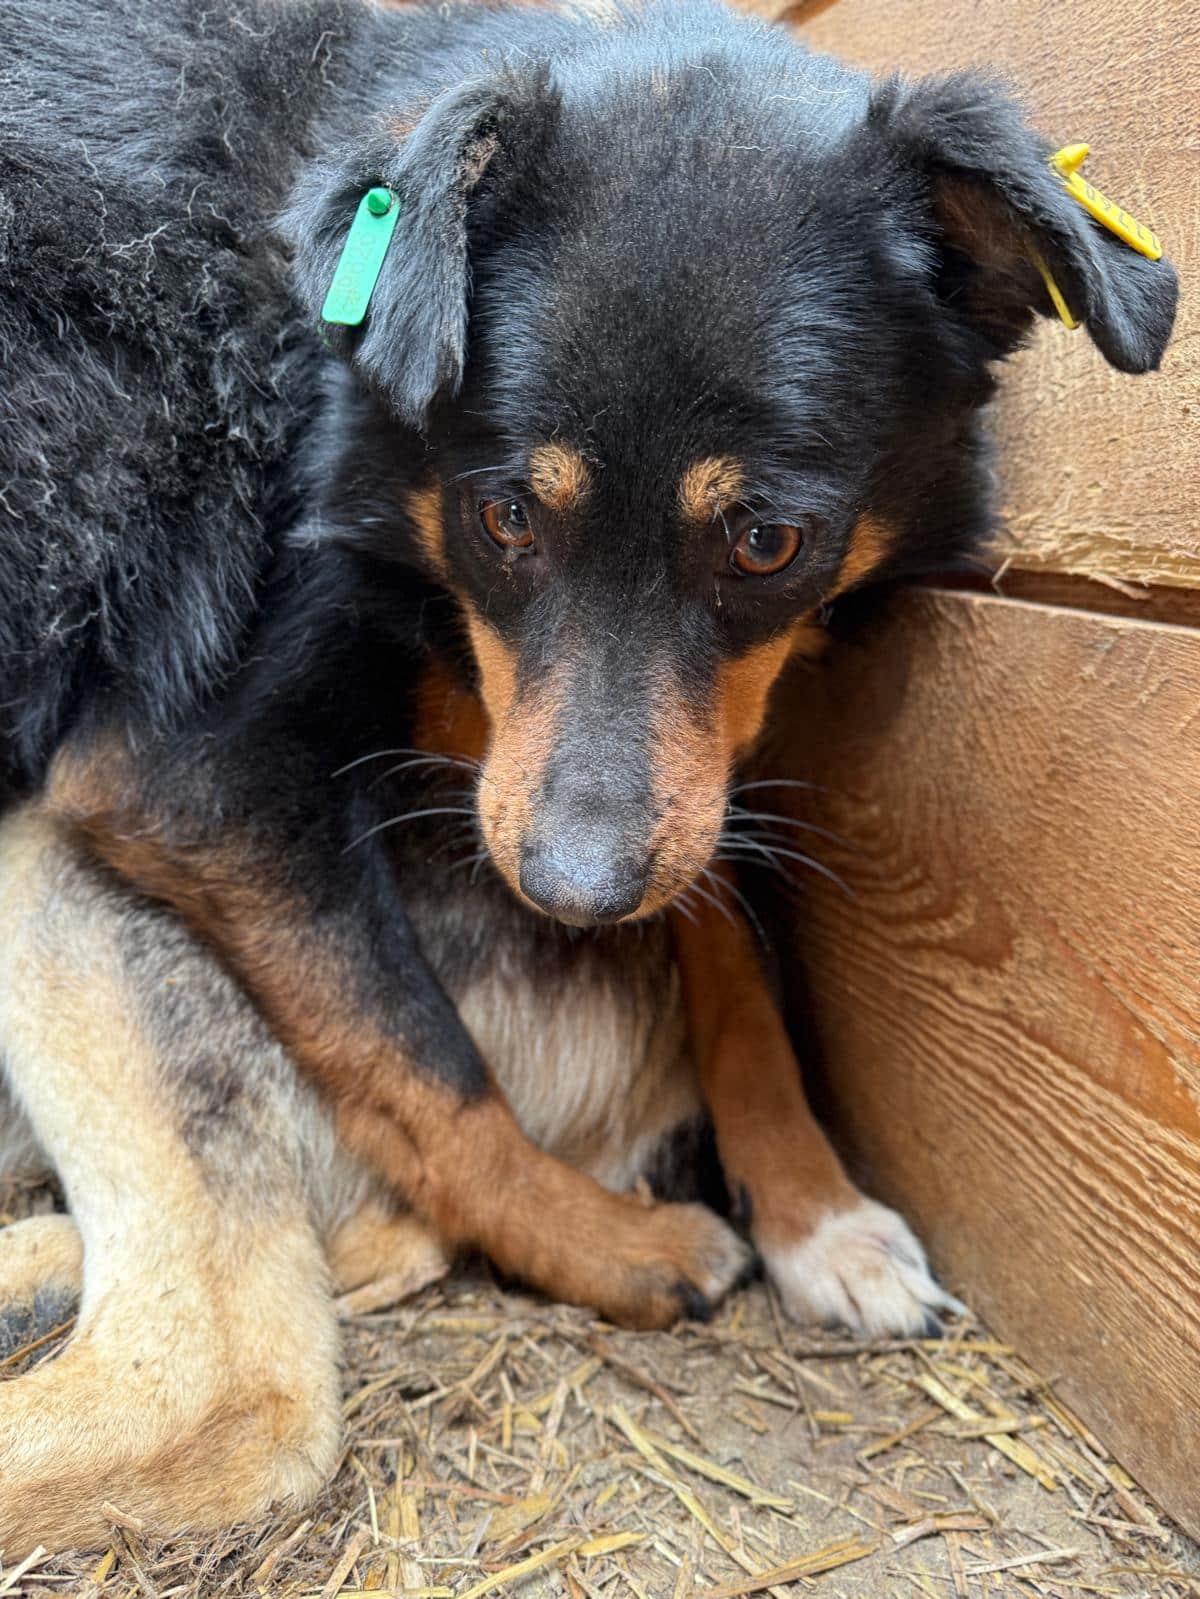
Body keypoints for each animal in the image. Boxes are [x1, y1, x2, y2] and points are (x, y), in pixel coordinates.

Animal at [0, 0, 1177, 1555]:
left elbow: (721, 926)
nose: (568, 896)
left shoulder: (615, 764)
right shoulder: (195, 770)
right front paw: (612, 1247)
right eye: (505, 515)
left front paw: (812, 1203)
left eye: (766, 542)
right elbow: (427, 1061)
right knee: (209, 1374)